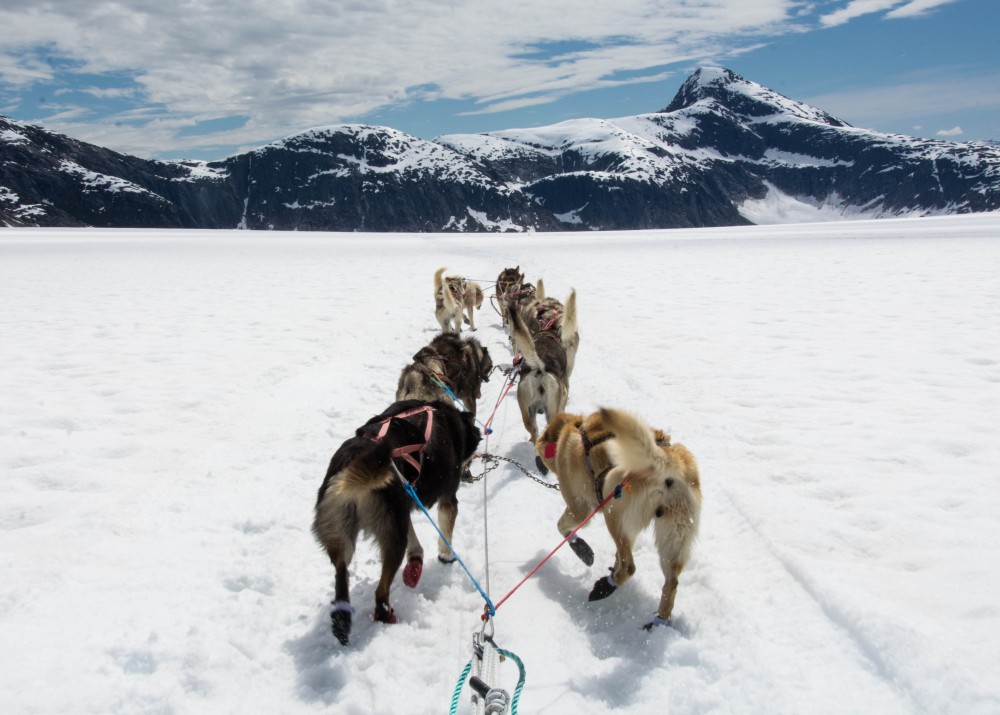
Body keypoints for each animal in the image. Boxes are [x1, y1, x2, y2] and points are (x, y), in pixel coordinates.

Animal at [314, 400, 482, 648]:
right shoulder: (446, 499)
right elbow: (445, 534)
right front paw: (446, 556)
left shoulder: (406, 500)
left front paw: (416, 561)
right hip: (393, 536)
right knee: (380, 594)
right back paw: (386, 616)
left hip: (342, 533)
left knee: (341, 575)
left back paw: (342, 622)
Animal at [532, 408, 704, 632]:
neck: (573, 430)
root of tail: (665, 461)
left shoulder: (579, 510)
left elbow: (562, 527)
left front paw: (581, 549)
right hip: (674, 535)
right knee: (671, 581)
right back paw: (659, 620)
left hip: (612, 509)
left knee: (629, 566)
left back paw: (606, 586)